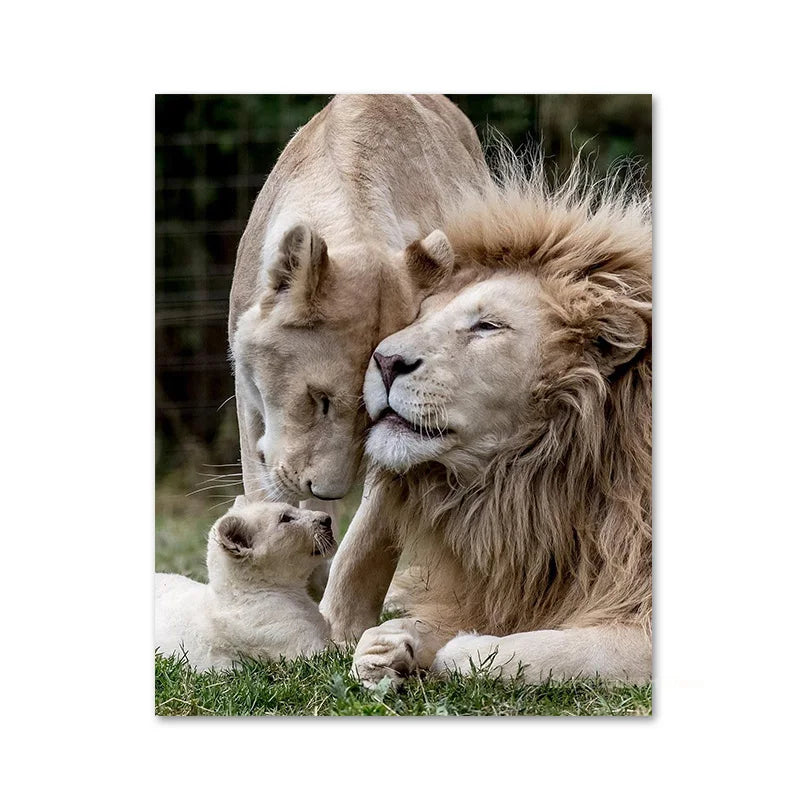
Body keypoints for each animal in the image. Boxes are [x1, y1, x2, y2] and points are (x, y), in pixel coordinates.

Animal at [320, 151, 652, 686]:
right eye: (420, 315)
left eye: (487, 326)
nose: (384, 360)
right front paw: (390, 643)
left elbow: (545, 650)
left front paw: (461, 650)